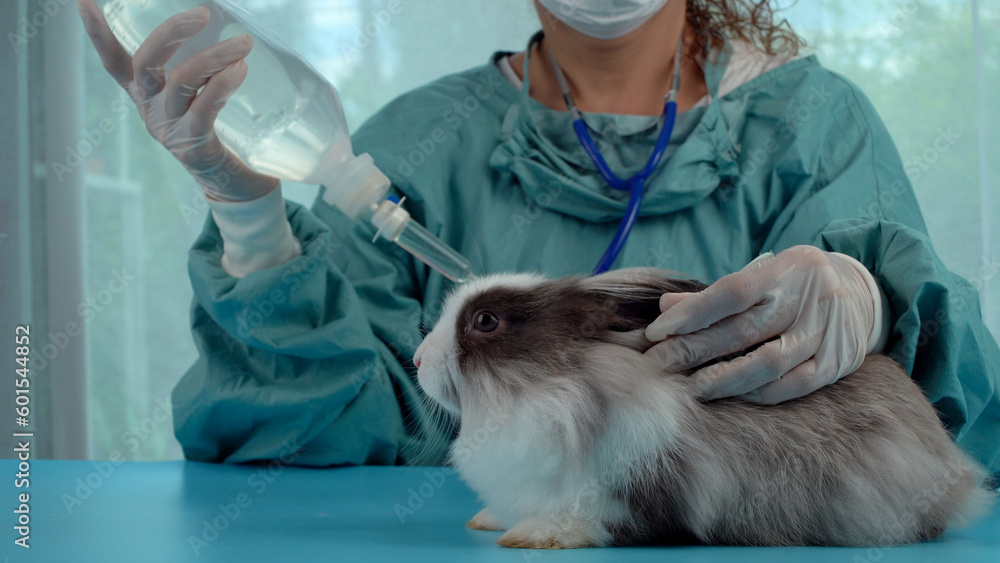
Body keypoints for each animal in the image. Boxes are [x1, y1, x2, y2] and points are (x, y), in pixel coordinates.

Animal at [412, 267, 995, 549]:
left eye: (486, 321)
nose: (417, 359)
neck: (558, 388)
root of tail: (954, 468)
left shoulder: (636, 488)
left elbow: (603, 522)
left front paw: (534, 536)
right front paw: (492, 518)